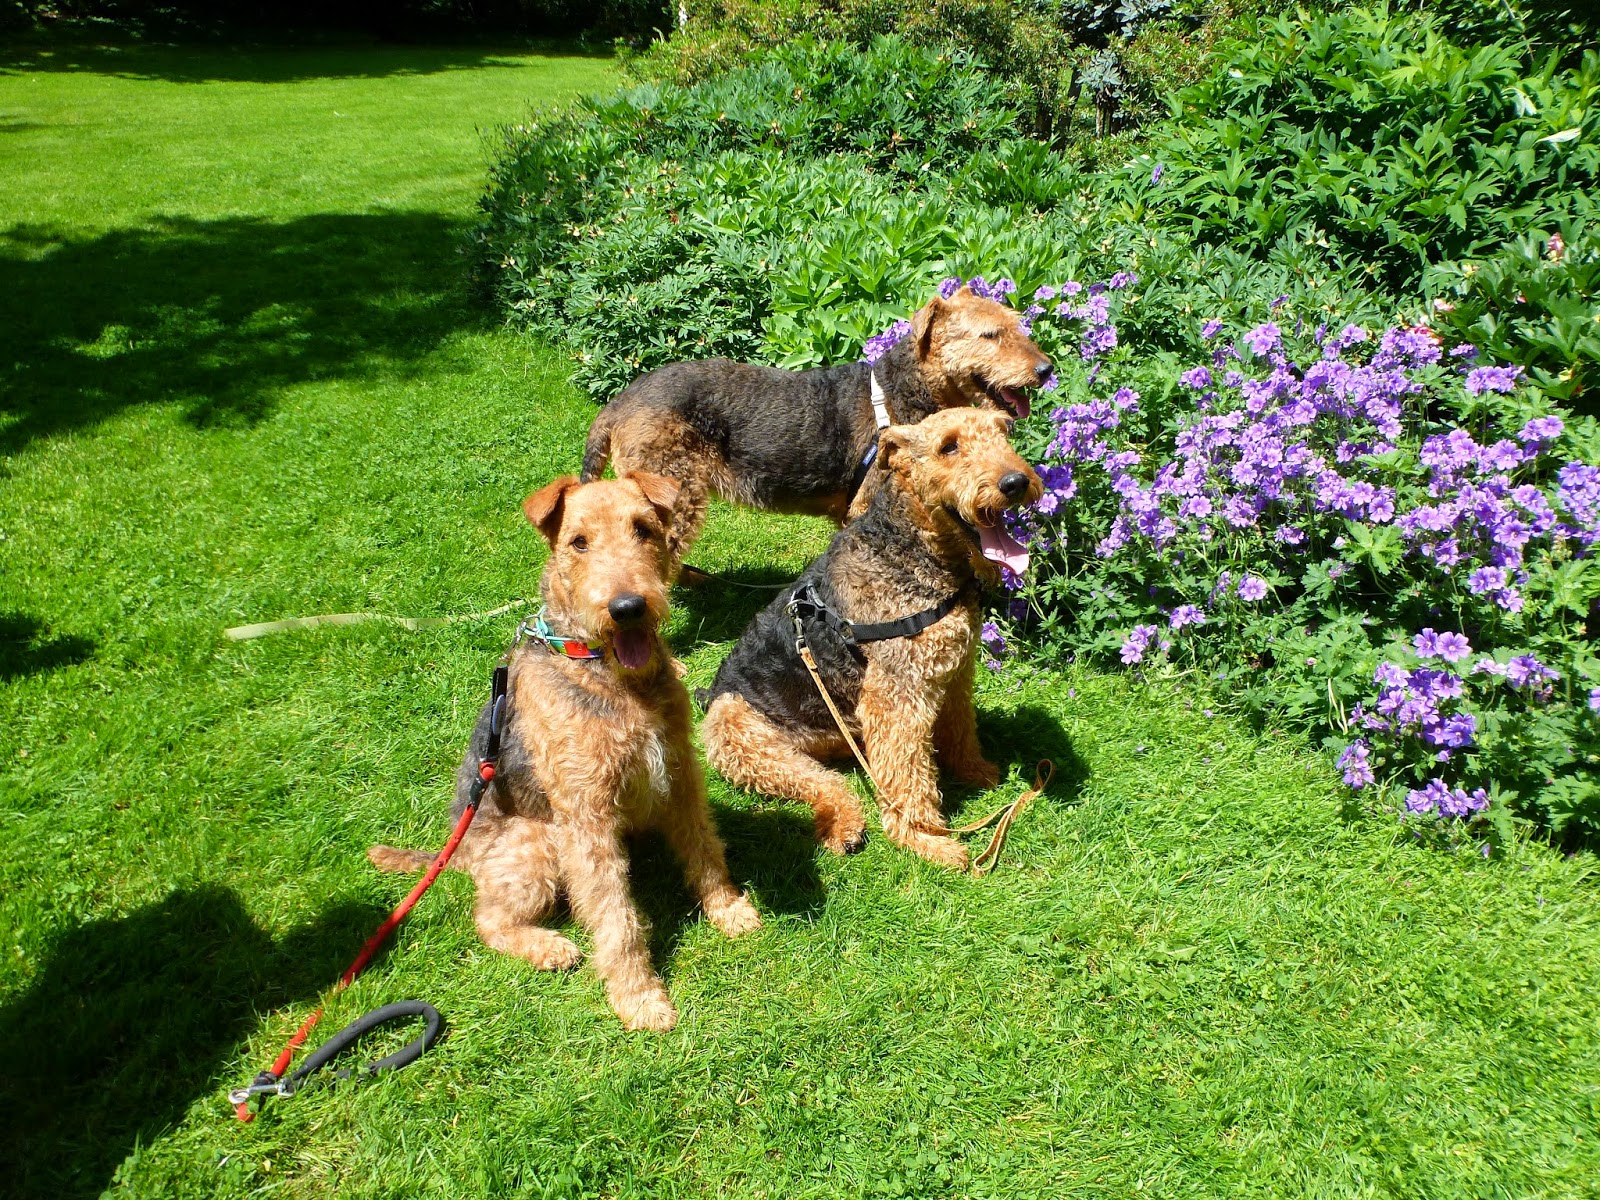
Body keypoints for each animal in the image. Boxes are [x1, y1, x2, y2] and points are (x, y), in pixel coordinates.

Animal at [369, 474, 760, 1032]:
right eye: (578, 542)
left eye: (643, 529)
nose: (627, 607)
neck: (606, 673)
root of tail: (458, 850)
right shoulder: (586, 815)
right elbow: (617, 918)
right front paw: (641, 999)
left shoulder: (680, 771)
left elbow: (704, 850)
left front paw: (729, 910)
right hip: (538, 843)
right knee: (488, 919)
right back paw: (551, 948)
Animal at [579, 285, 1052, 567]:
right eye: (989, 335)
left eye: (1017, 325)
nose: (1047, 369)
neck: (902, 388)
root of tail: (617, 405)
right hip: (674, 493)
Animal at [699, 407, 1041, 869]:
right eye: (948, 446)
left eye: (1004, 432)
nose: (1016, 482)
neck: (914, 553)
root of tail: (709, 692)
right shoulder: (896, 698)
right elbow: (909, 777)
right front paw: (925, 839)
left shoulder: (954, 674)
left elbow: (959, 730)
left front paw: (976, 770)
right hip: (743, 736)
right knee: (824, 784)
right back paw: (844, 829)